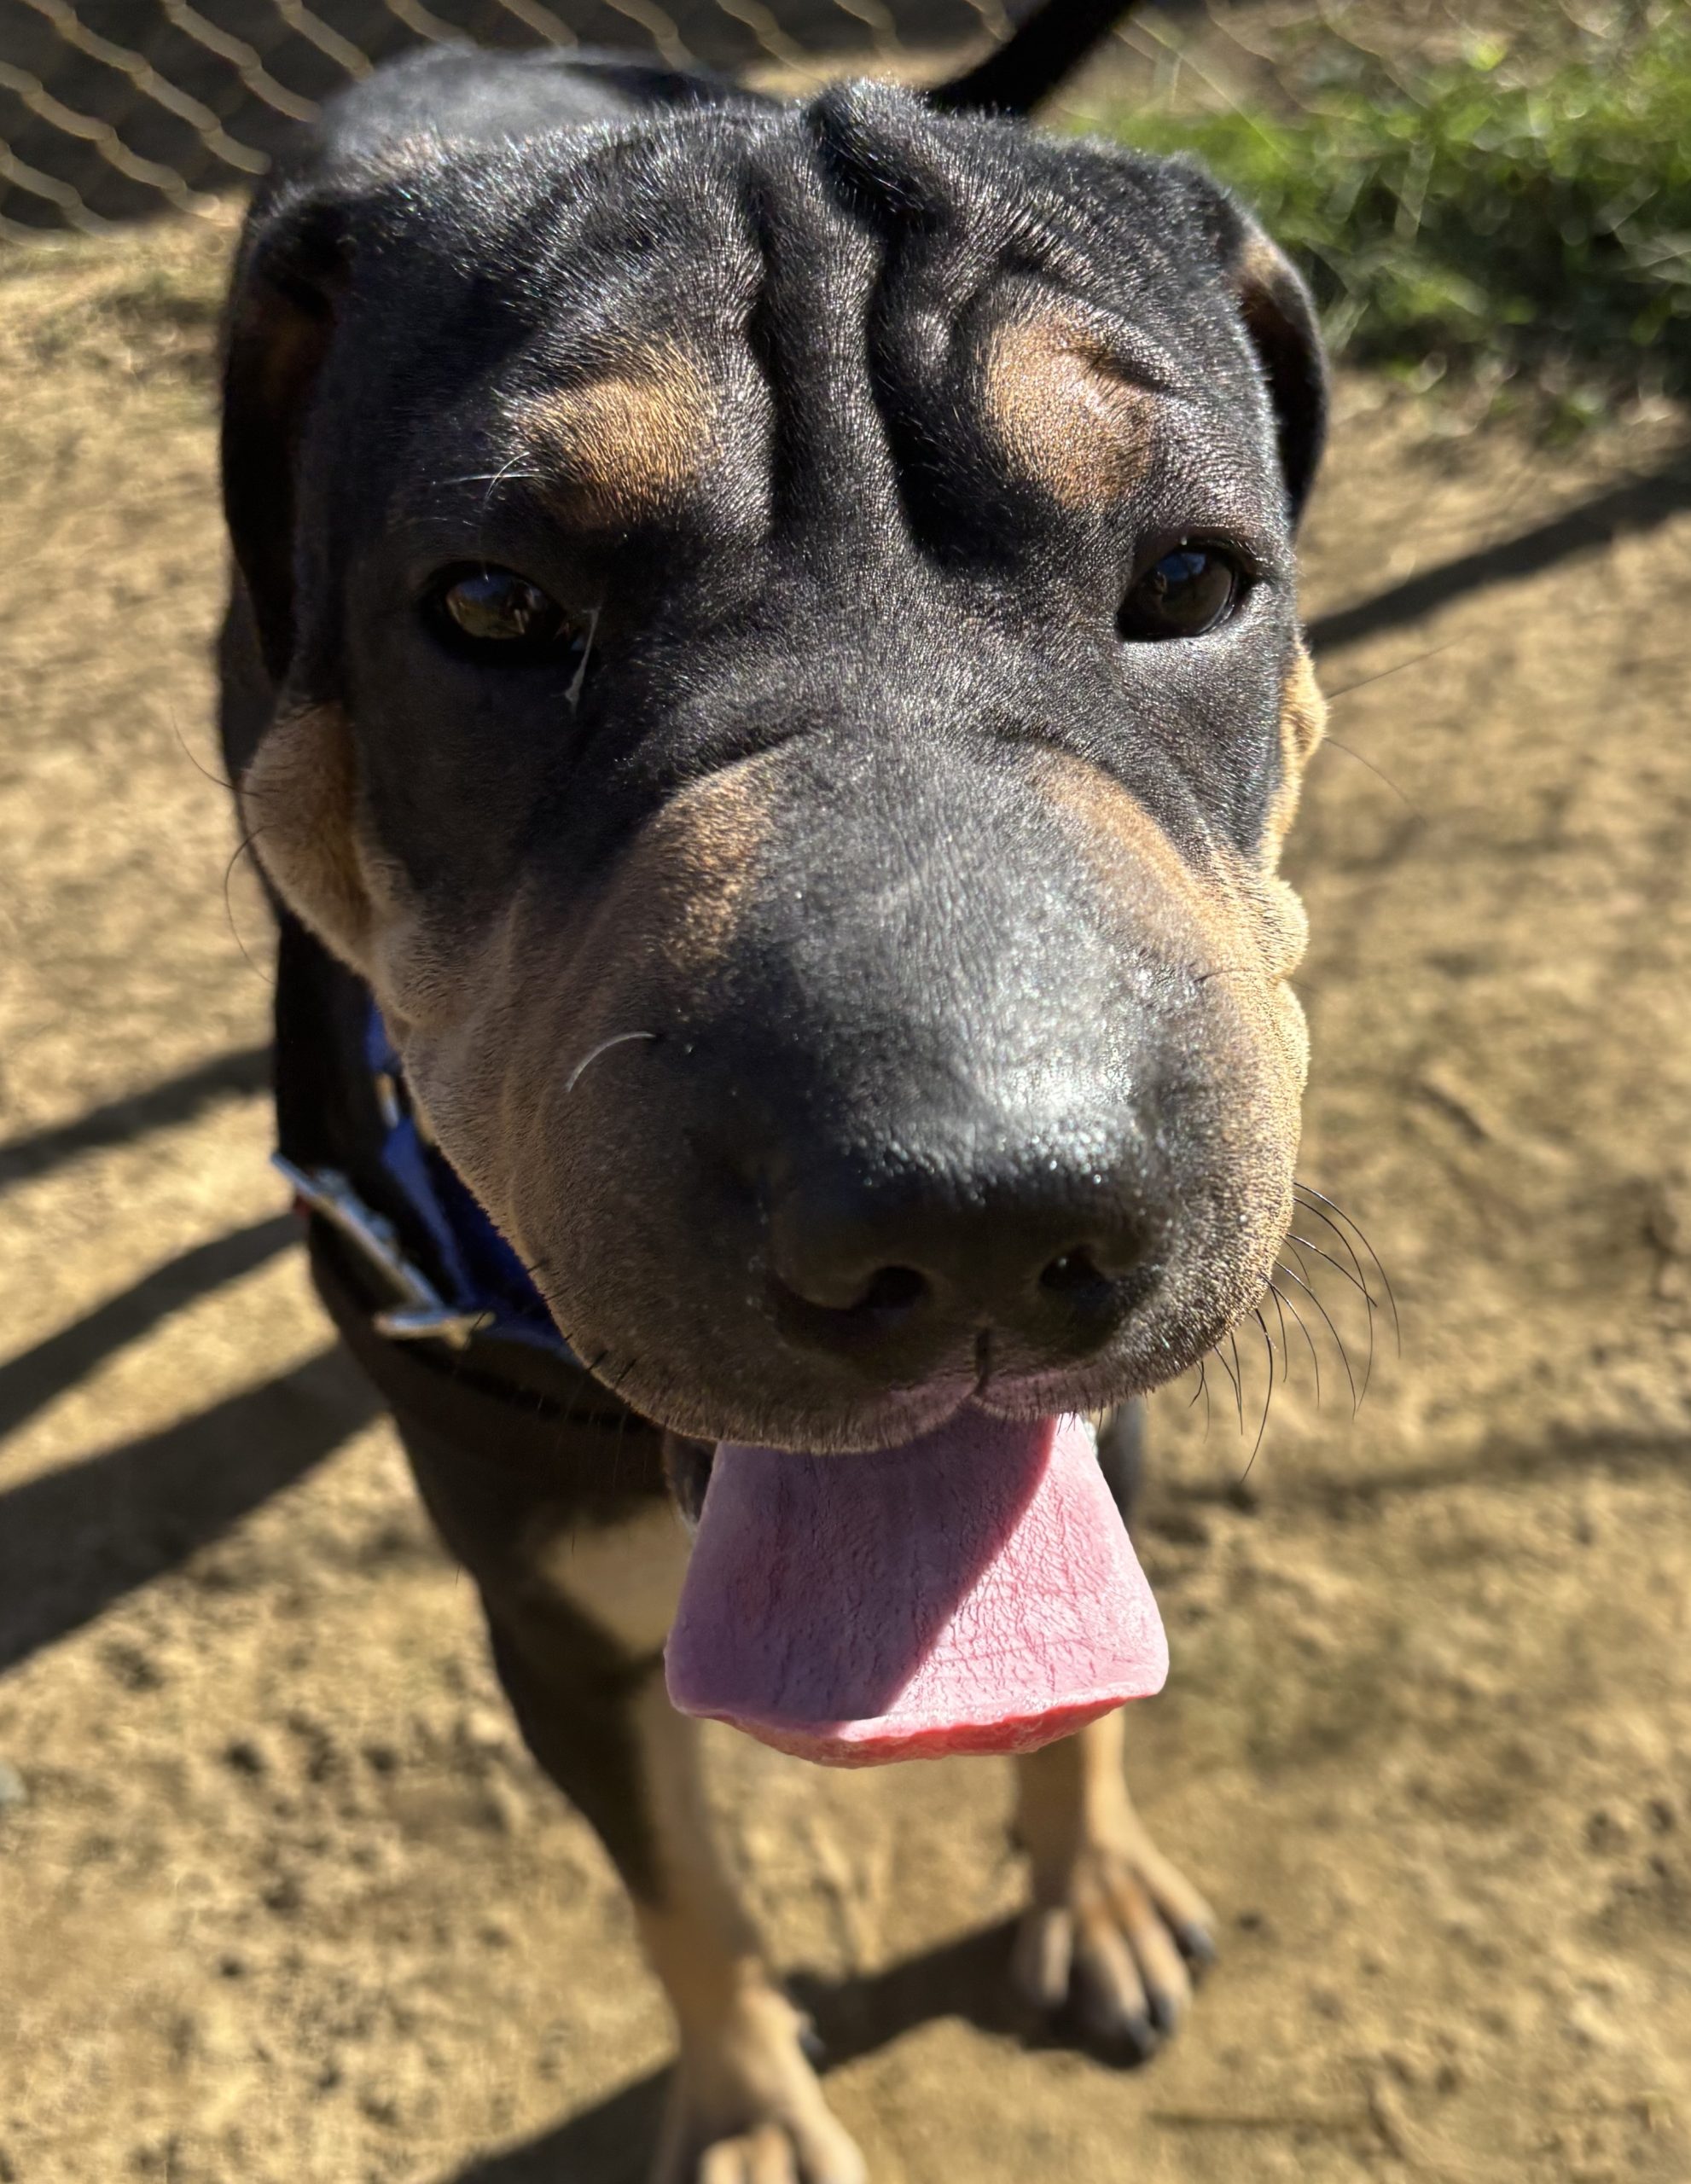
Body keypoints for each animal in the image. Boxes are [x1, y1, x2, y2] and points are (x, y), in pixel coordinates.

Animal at [217, 5, 1327, 2172]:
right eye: (491, 607)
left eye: (1188, 575)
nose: (979, 1210)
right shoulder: (549, 1617)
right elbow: (678, 1887)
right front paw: (742, 2100)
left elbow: (1079, 1690)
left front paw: (1089, 1881)